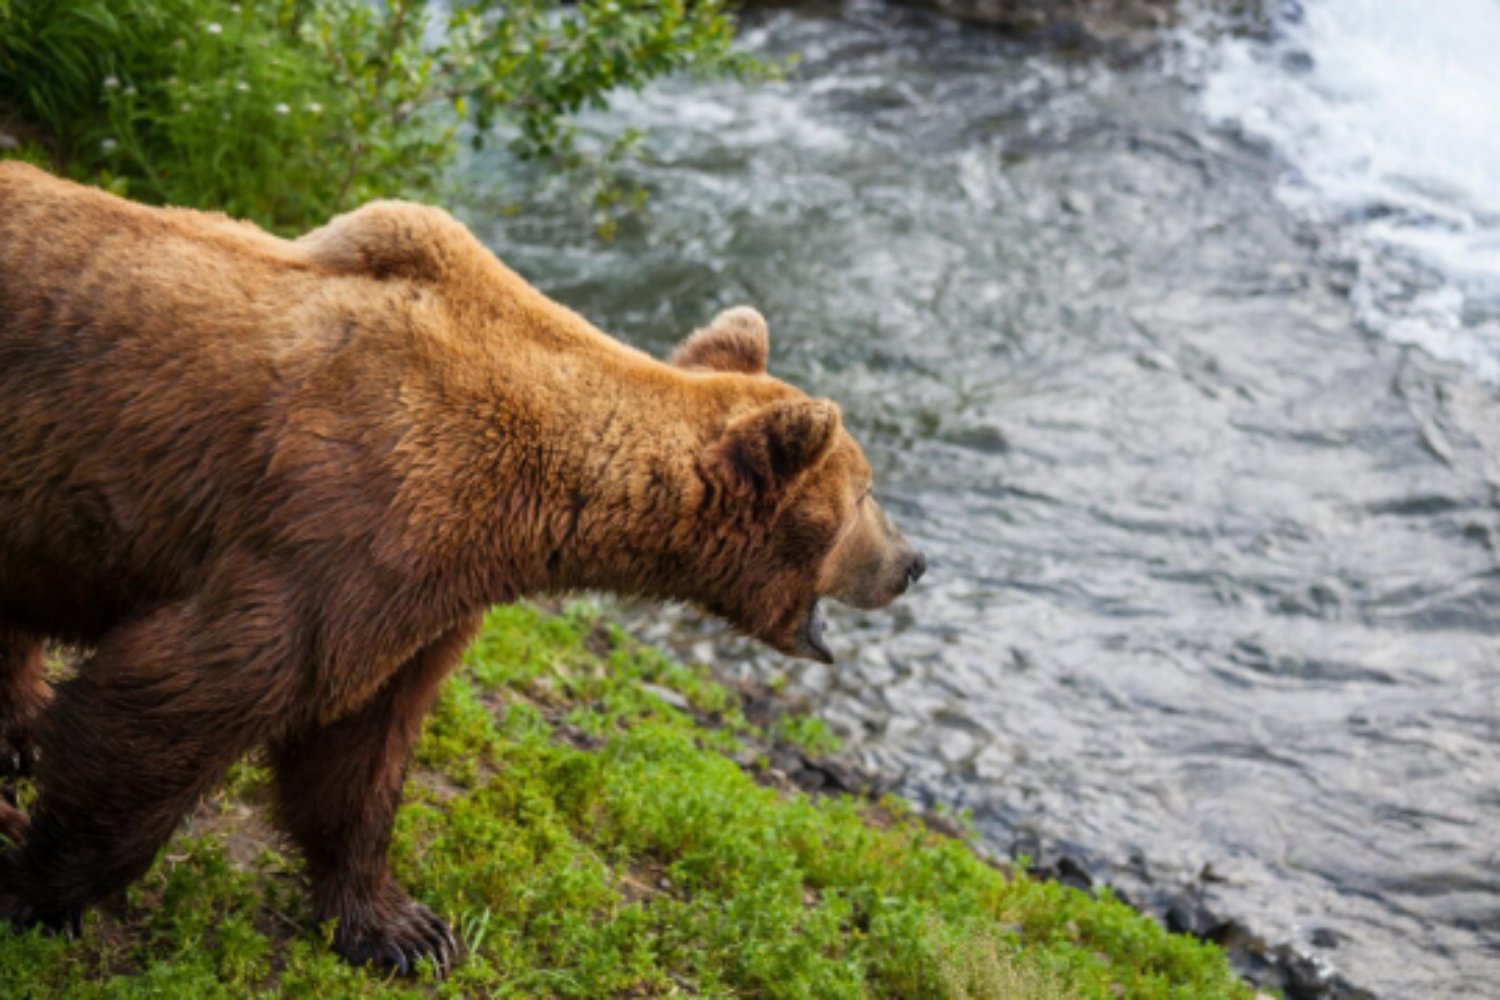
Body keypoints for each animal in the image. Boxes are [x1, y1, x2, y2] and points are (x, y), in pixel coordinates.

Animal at [0, 161, 925, 974]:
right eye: (866, 493)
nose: (916, 561)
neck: (535, 501)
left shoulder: (419, 598)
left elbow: (361, 750)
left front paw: (403, 929)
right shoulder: (350, 528)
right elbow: (177, 698)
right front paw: (39, 892)